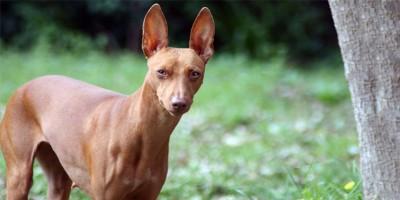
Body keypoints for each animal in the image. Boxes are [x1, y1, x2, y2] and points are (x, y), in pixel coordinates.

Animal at [0, 3, 216, 199]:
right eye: (161, 72)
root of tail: (24, 86)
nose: (179, 103)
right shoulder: (105, 195)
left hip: (59, 181)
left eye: (195, 73)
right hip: (19, 176)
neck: (141, 132)